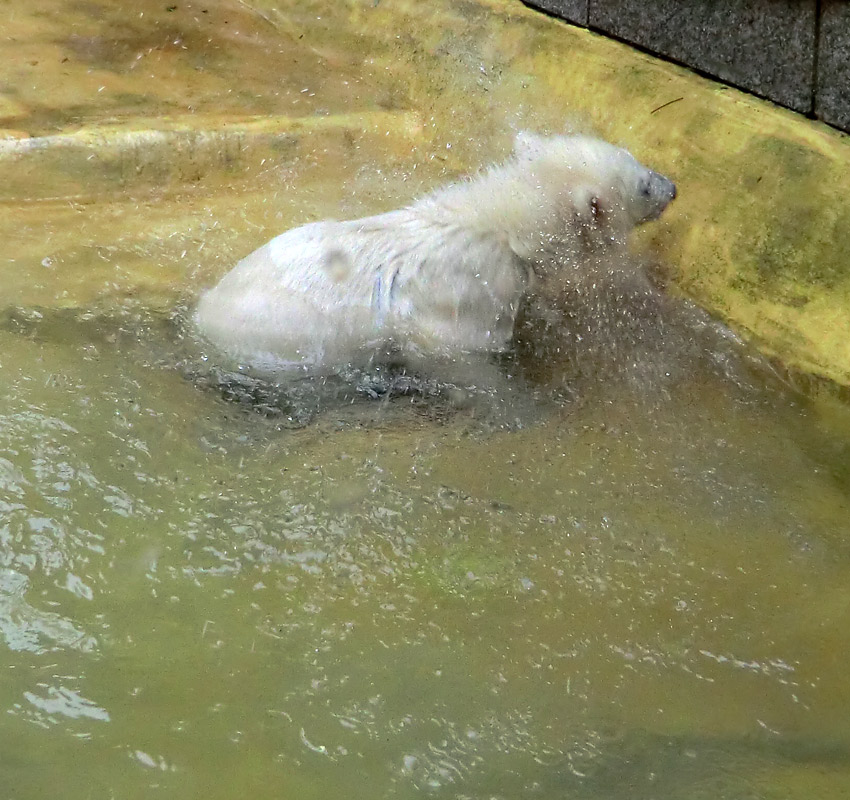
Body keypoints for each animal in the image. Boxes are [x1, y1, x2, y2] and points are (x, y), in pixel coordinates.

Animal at [194, 132, 676, 382]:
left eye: (636, 157)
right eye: (642, 185)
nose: (673, 186)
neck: (501, 228)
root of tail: (202, 315)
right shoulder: (469, 302)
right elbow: (466, 351)